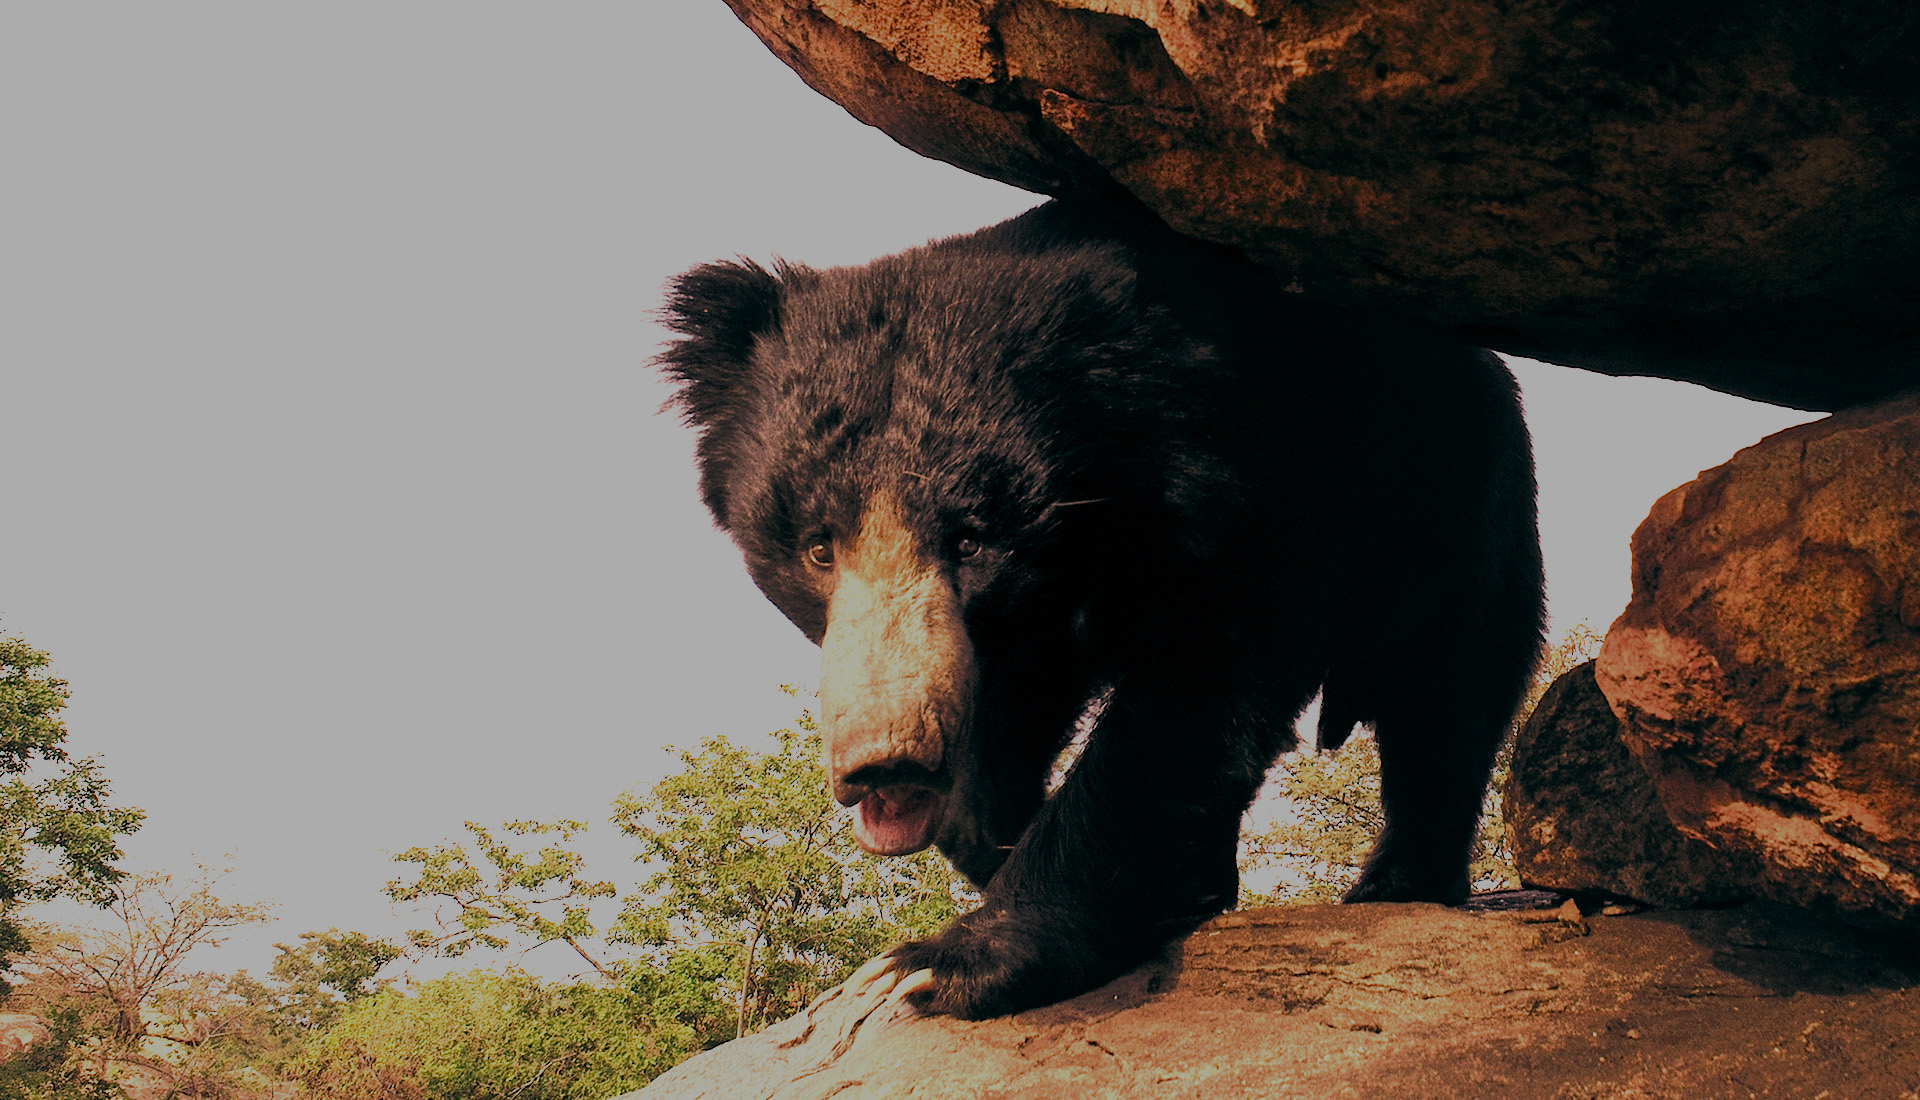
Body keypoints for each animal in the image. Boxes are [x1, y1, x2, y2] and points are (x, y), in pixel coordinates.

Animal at [657, 196, 1546, 1020]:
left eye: (971, 542)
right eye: (817, 547)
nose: (886, 764)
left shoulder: (1258, 498)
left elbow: (1194, 698)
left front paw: (940, 965)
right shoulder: (1024, 631)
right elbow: (1010, 718)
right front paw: (991, 835)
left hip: (1455, 499)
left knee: (1452, 690)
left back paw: (1397, 881)